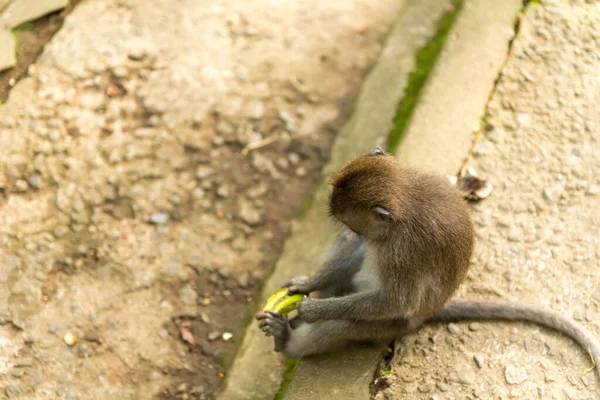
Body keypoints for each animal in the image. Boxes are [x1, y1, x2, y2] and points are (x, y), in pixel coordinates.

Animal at [254, 146, 600, 378]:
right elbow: (358, 251)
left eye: (352, 222)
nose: (351, 231)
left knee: (345, 323)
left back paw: (288, 341)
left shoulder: (401, 252)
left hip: (394, 326)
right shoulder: (379, 240)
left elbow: (395, 300)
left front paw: (313, 309)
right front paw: (307, 285)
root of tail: (430, 312)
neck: (402, 205)